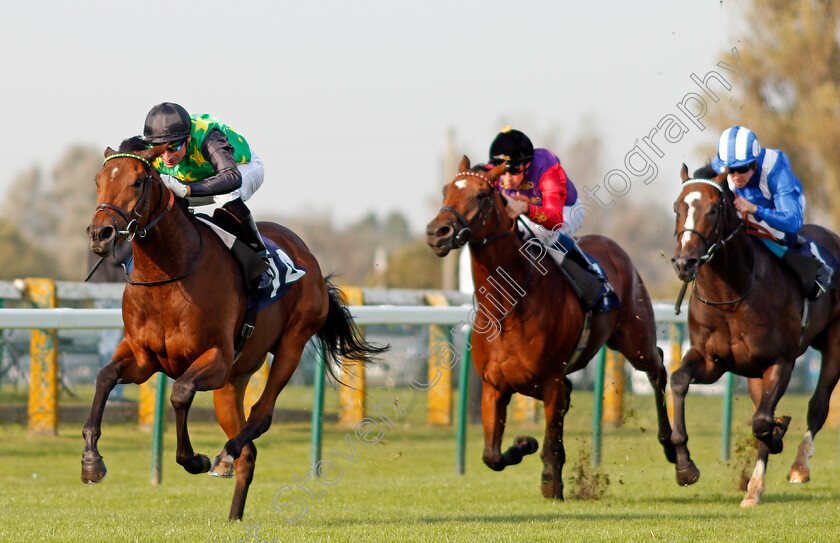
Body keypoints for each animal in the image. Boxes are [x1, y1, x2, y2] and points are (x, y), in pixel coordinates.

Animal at [82, 138, 384, 520]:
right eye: (98, 180)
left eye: (137, 182)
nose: (100, 233)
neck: (168, 276)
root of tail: (308, 256)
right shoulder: (142, 358)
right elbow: (104, 377)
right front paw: (91, 461)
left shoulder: (216, 357)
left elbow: (180, 393)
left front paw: (195, 459)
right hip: (232, 381)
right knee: (249, 453)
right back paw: (233, 509)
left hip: (291, 344)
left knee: (261, 416)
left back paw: (225, 455)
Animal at [424, 155, 672, 500]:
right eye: (446, 190)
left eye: (481, 195)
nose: (437, 232)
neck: (508, 309)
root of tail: (612, 246)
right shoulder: (494, 386)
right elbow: (492, 455)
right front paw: (523, 444)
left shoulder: (551, 380)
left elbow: (551, 439)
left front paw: (551, 484)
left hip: (635, 341)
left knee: (657, 368)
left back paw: (679, 457)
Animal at [672, 164, 840, 508]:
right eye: (677, 208)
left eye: (713, 210)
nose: (684, 263)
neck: (731, 296)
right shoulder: (711, 361)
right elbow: (679, 380)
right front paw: (684, 466)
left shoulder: (781, 361)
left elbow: (763, 421)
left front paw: (778, 435)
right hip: (752, 373)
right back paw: (754, 488)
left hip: (834, 343)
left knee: (817, 406)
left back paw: (799, 466)